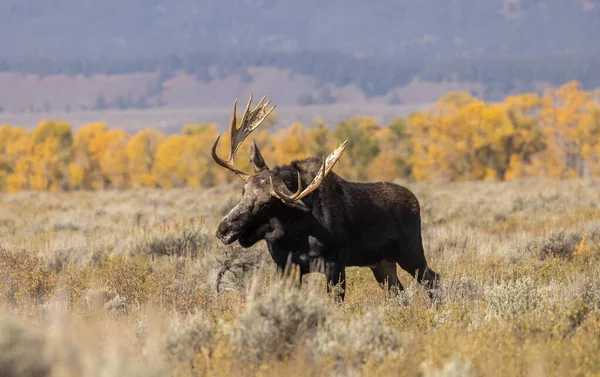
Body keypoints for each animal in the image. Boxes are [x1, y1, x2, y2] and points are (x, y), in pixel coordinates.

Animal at [212, 94, 440, 302]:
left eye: (266, 204)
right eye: (243, 190)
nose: (224, 229)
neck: (294, 232)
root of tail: (416, 202)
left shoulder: (334, 264)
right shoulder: (286, 267)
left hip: (410, 253)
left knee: (433, 279)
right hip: (382, 263)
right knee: (399, 292)